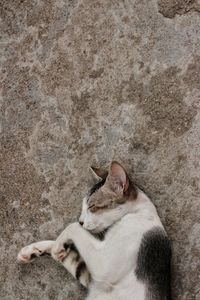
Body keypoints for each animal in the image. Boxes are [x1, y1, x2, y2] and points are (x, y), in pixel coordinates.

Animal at [17, 162, 171, 300]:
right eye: (83, 207)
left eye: (92, 206)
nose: (81, 220)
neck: (135, 213)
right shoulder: (91, 279)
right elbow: (68, 255)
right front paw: (33, 250)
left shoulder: (104, 266)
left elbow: (72, 227)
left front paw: (57, 248)